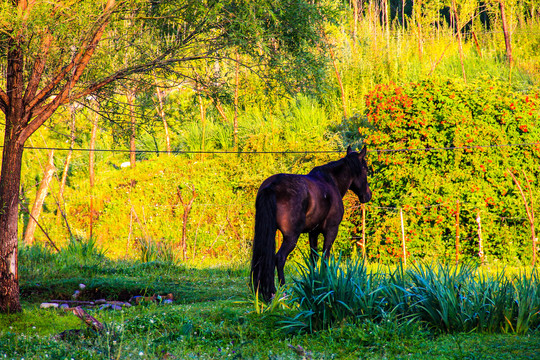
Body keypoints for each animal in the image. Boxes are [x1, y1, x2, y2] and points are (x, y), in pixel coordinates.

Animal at [250, 146, 372, 300]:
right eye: (365, 169)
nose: (368, 195)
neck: (331, 182)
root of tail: (272, 186)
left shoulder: (313, 233)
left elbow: (313, 258)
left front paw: (314, 283)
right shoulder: (331, 231)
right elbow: (325, 258)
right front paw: (325, 282)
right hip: (291, 237)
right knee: (280, 258)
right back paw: (282, 291)